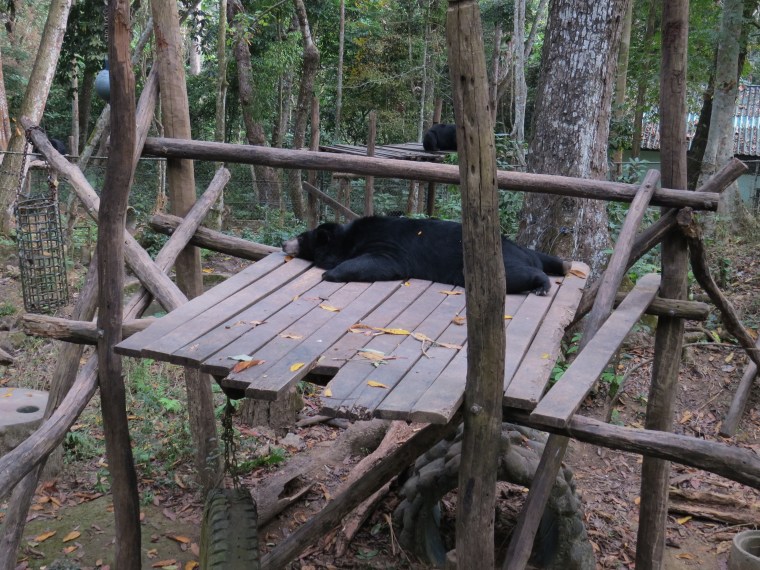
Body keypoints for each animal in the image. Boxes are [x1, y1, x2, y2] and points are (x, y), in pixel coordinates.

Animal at [282, 216, 571, 295]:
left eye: (301, 237)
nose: (284, 244)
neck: (349, 237)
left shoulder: (386, 243)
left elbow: (382, 262)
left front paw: (330, 272)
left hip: (488, 265)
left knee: (515, 274)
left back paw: (542, 285)